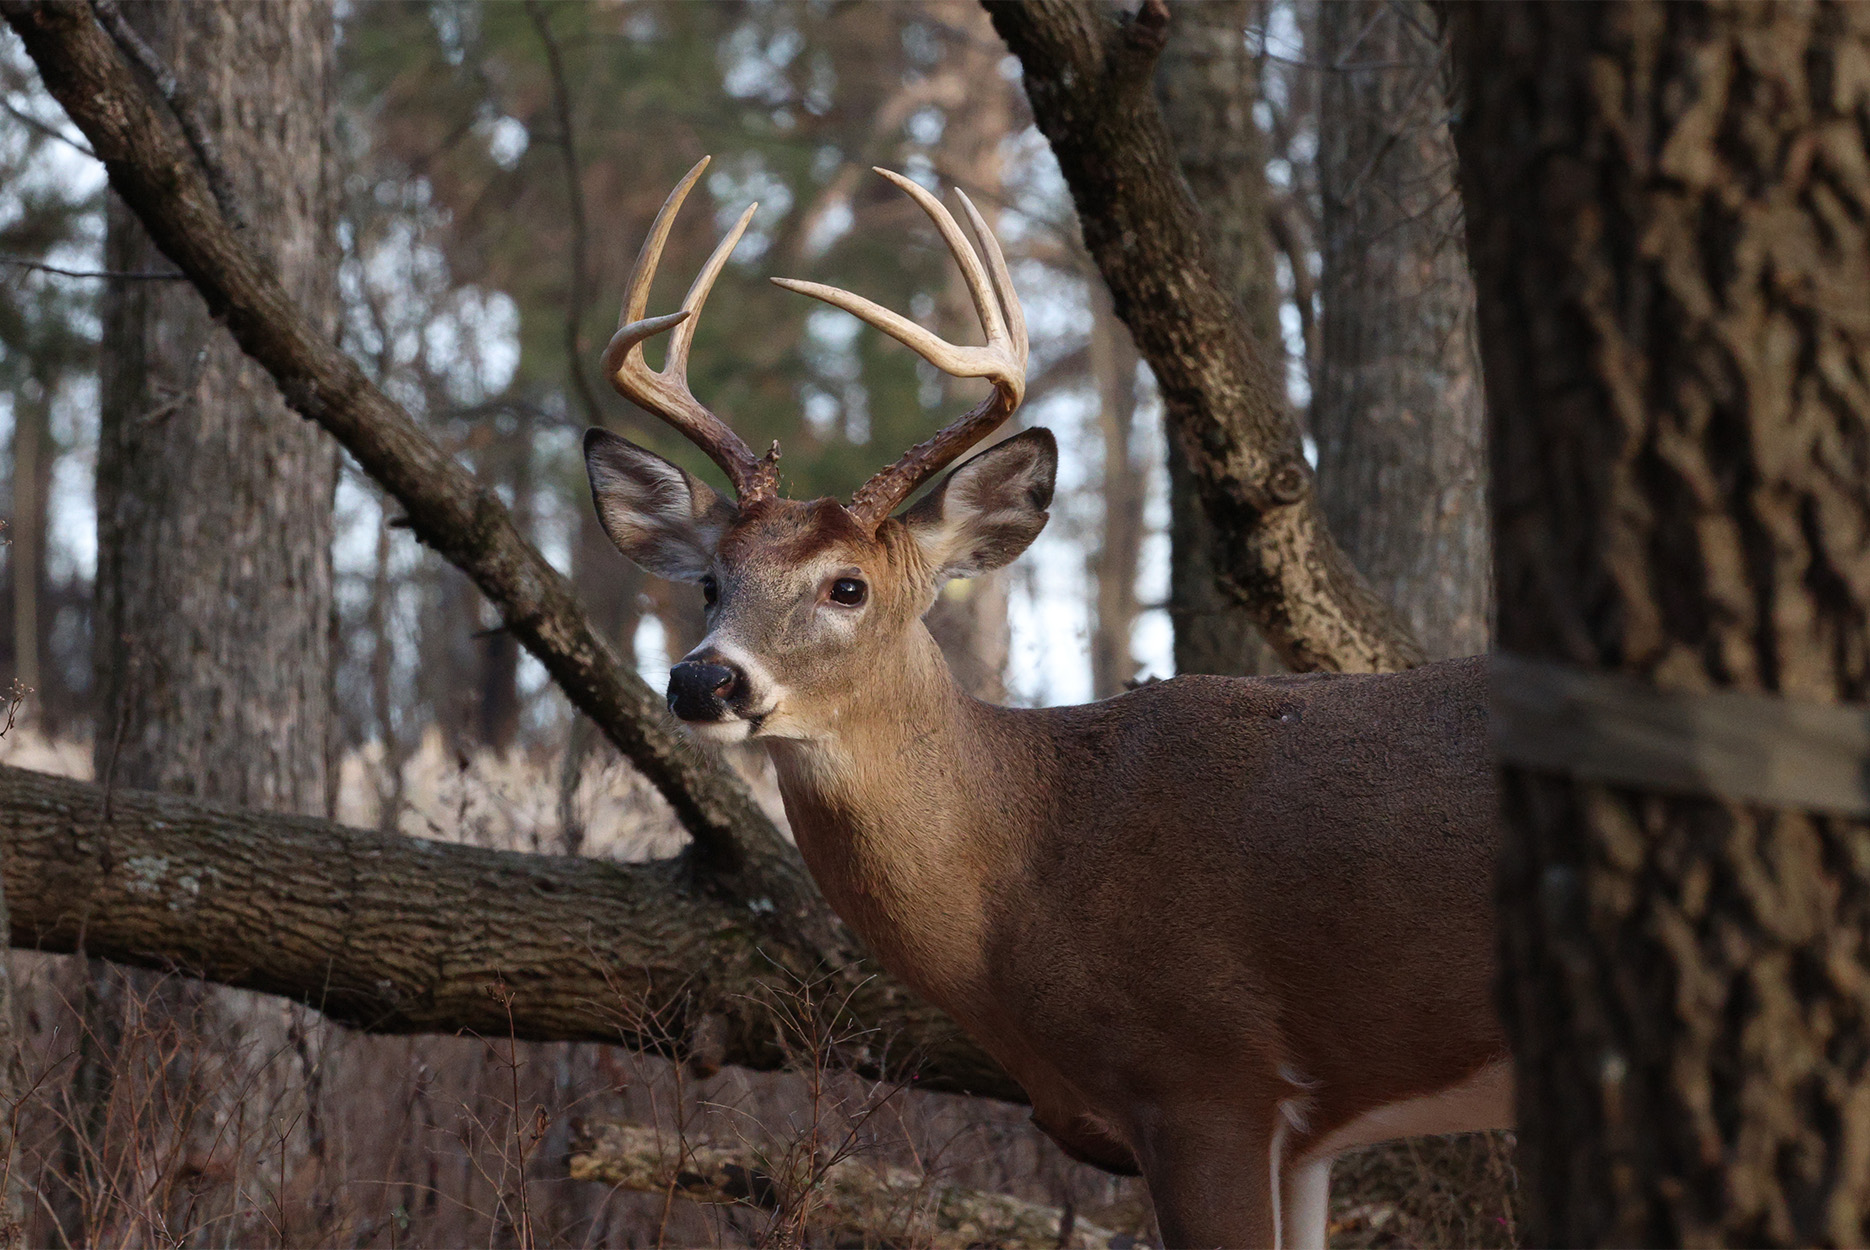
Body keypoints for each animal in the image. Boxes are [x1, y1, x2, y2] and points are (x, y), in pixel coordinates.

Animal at [583, 159, 1503, 1250]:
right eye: (708, 583)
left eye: (848, 586)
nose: (702, 680)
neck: (1033, 864)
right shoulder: (1308, 1136)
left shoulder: (1208, 1075)